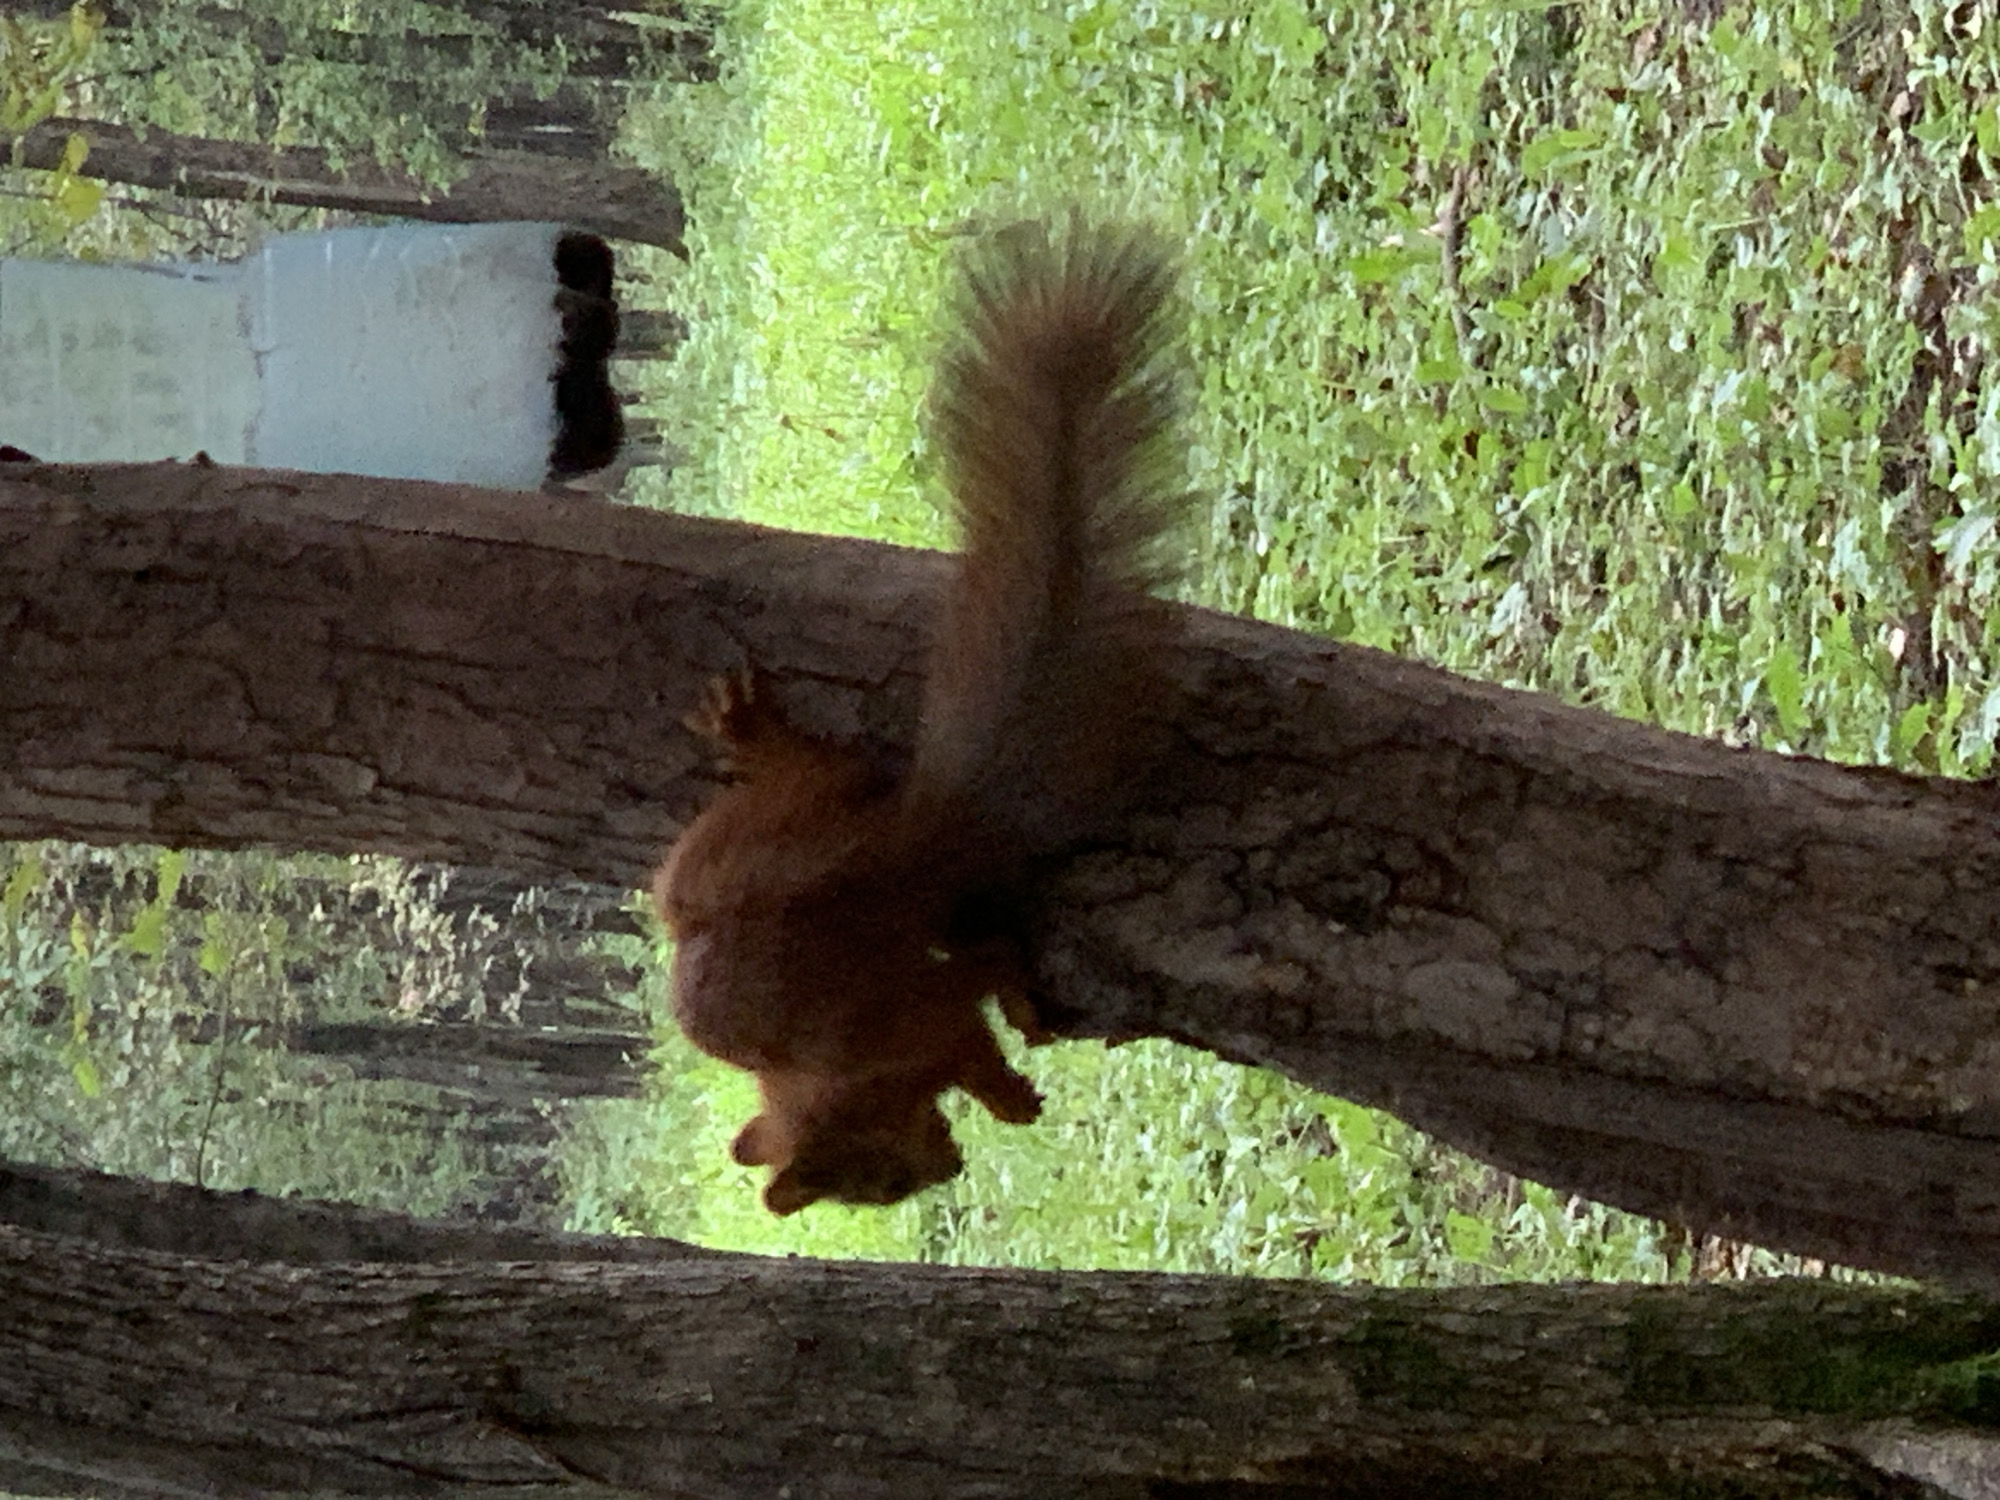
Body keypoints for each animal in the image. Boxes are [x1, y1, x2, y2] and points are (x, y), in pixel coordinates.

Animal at [652, 222, 1188, 1214]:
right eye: (884, 1183)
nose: (945, 1168)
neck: (818, 1088)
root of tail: (887, 851)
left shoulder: (914, 1031)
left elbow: (970, 1038)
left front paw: (1008, 1095)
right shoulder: (919, 1030)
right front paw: (1011, 1089)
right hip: (786, 827)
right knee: (844, 792)